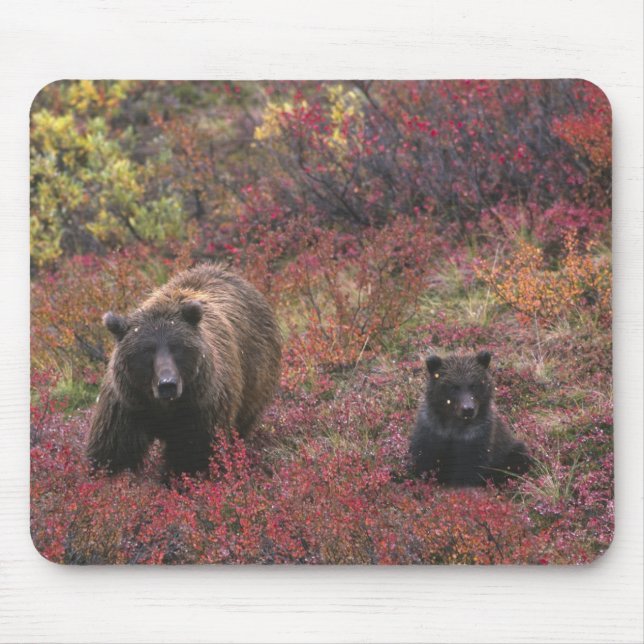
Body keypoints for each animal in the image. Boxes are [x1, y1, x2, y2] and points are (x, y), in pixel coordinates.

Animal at [87, 263, 282, 477]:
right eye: (147, 350)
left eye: (176, 347)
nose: (167, 384)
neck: (163, 407)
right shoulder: (127, 405)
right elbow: (114, 451)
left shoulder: (200, 409)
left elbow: (193, 454)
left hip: (255, 376)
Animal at [409, 350, 531, 486]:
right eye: (453, 387)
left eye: (474, 385)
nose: (468, 409)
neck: (454, 424)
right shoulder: (432, 432)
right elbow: (424, 461)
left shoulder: (476, 437)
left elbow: (467, 470)